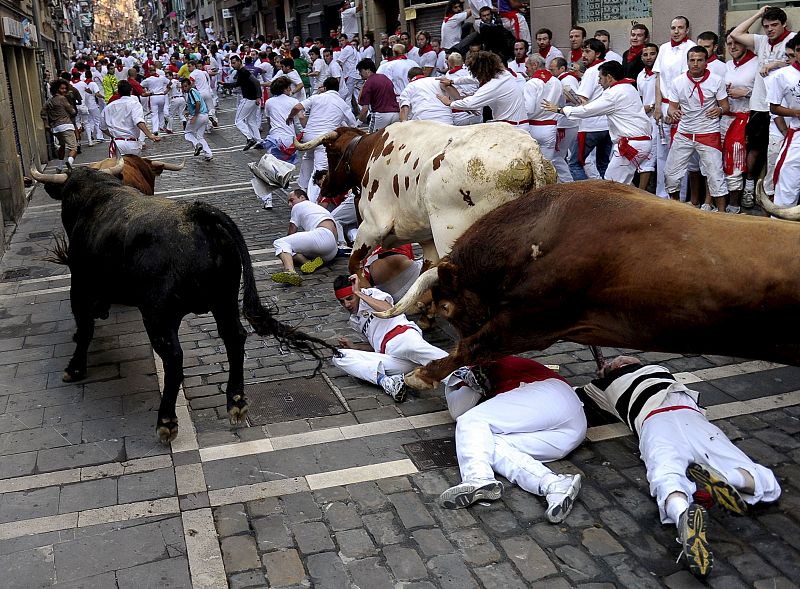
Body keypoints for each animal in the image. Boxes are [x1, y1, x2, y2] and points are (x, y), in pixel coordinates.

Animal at [43, 168, 338, 444]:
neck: (96, 194)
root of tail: (198, 214)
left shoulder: (79, 285)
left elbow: (85, 328)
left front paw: (74, 368)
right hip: (224, 300)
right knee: (234, 338)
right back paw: (236, 402)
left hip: (159, 315)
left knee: (174, 357)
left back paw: (166, 422)